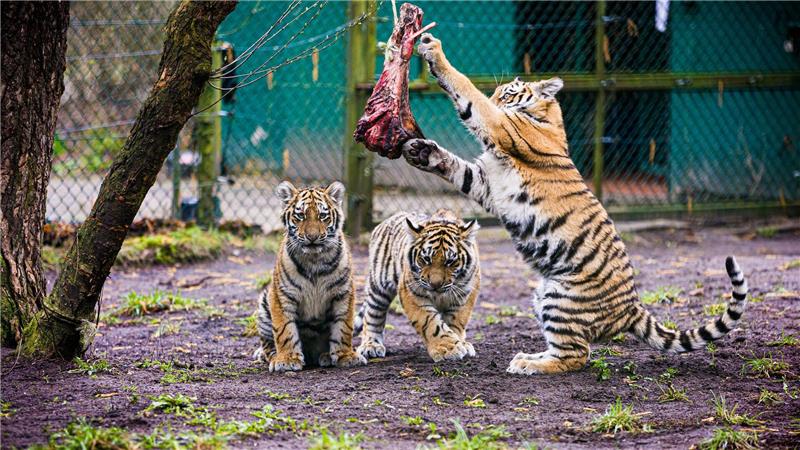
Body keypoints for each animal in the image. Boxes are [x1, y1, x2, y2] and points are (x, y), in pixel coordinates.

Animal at [254, 181, 366, 372]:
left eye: (323, 216)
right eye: (300, 216)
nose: (312, 237)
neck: (314, 259)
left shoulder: (344, 293)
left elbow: (344, 327)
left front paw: (346, 356)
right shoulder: (281, 296)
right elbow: (284, 330)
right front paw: (287, 360)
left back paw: (326, 355)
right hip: (264, 302)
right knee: (268, 344)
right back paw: (270, 354)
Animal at [354, 209, 481, 362]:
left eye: (450, 261)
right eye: (426, 259)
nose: (435, 284)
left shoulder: (466, 293)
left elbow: (456, 321)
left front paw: (460, 343)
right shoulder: (411, 292)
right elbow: (431, 323)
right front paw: (447, 348)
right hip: (379, 286)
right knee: (372, 315)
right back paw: (371, 345)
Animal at [399, 33, 749, 374]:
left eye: (507, 94)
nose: (498, 97)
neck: (547, 118)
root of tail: (632, 307)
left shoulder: (500, 128)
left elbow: (466, 89)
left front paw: (434, 51)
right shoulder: (487, 183)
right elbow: (457, 167)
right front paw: (422, 152)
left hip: (561, 299)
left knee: (576, 356)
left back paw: (527, 364)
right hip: (543, 294)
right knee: (574, 349)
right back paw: (529, 357)